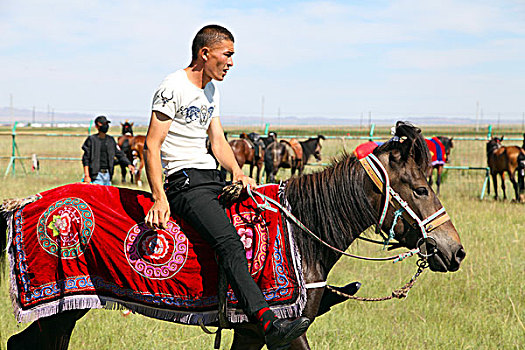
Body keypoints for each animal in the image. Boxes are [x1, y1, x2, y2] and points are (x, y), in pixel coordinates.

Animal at [2, 121, 464, 348]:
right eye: (420, 188)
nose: (454, 250)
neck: (303, 234)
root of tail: (27, 202)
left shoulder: (248, 334)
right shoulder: (282, 331)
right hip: (59, 312)